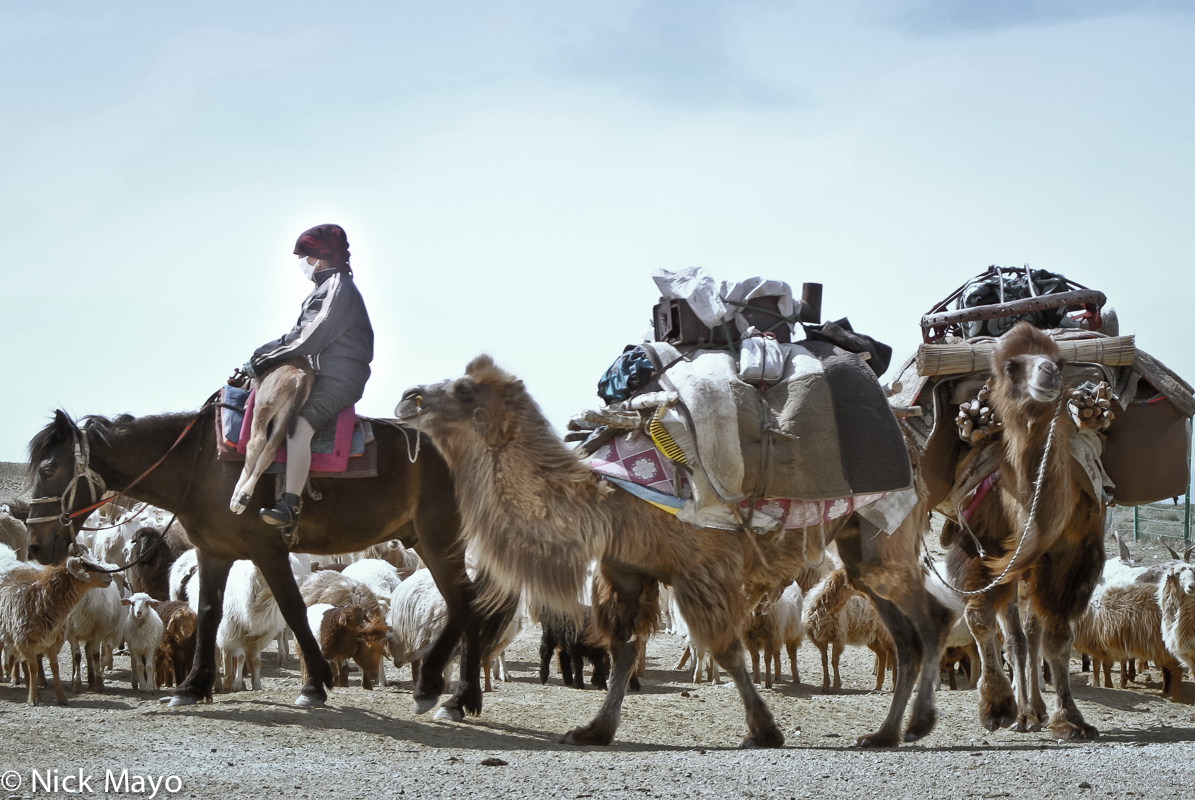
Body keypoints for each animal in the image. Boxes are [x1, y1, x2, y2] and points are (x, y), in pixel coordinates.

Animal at [25, 406, 516, 712]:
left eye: (48, 469)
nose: (35, 545)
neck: (201, 465)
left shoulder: (268, 548)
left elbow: (294, 610)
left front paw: (315, 684)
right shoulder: (214, 552)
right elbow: (208, 612)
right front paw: (193, 686)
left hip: (440, 540)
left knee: (465, 606)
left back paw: (450, 694)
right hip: (430, 542)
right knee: (465, 607)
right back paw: (453, 694)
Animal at [946, 320, 1104, 736]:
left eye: (1060, 361)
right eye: (1011, 366)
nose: (1048, 372)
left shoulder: (1071, 557)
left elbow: (1058, 636)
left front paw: (1070, 718)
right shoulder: (977, 547)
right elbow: (980, 620)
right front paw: (996, 705)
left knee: (1031, 634)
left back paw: (1034, 709)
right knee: (1015, 634)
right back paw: (1023, 711)